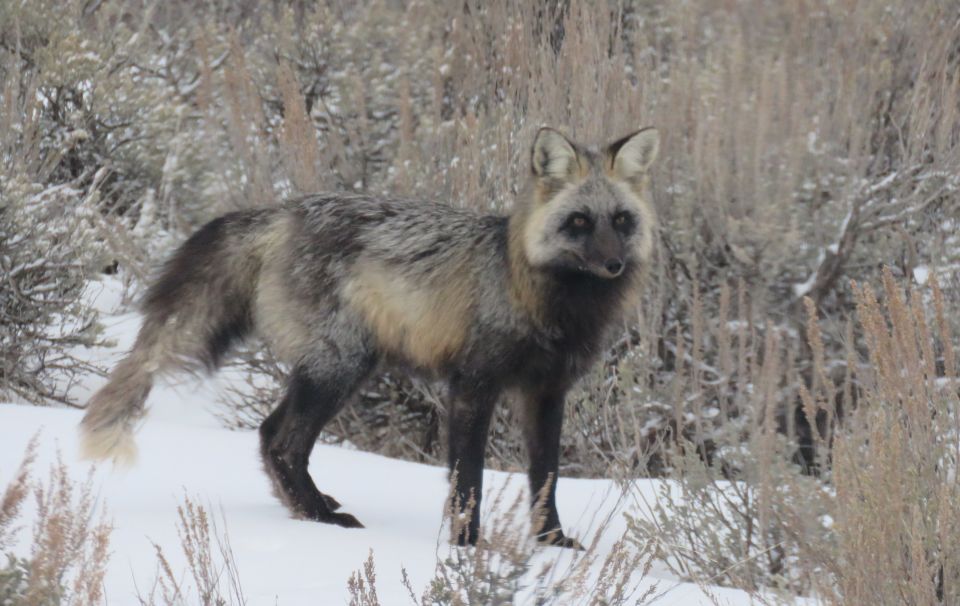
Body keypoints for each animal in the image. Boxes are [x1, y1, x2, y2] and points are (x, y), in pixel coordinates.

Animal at [80, 126, 660, 548]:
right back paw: (322, 519)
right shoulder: (472, 385)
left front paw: (553, 544)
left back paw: (310, 509)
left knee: (269, 436)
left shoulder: (546, 392)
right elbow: (468, 478)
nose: (613, 264)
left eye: (621, 220)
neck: (543, 302)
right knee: (281, 441)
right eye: (578, 222)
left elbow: (546, 477)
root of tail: (283, 210)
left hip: (339, 368)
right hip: (340, 367)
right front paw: (467, 549)